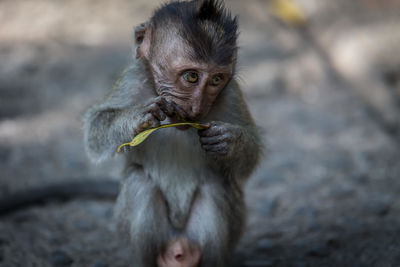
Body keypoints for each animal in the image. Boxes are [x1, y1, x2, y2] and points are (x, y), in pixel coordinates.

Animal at [83, 1, 262, 266]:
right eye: (192, 76)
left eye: (216, 80)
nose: (197, 108)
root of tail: (179, 244)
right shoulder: (132, 78)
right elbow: (94, 130)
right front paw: (136, 117)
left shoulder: (231, 93)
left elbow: (249, 160)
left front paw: (228, 141)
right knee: (139, 183)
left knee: (216, 183)